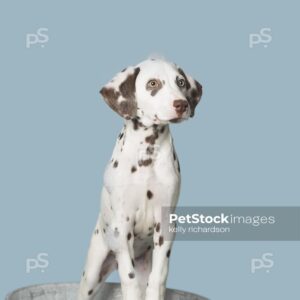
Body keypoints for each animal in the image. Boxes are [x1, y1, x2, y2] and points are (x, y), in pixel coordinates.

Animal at [78, 58, 203, 300]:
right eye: (153, 83)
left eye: (181, 82)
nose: (182, 104)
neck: (148, 153)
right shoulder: (122, 226)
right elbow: (129, 279)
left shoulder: (165, 225)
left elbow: (158, 278)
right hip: (93, 272)